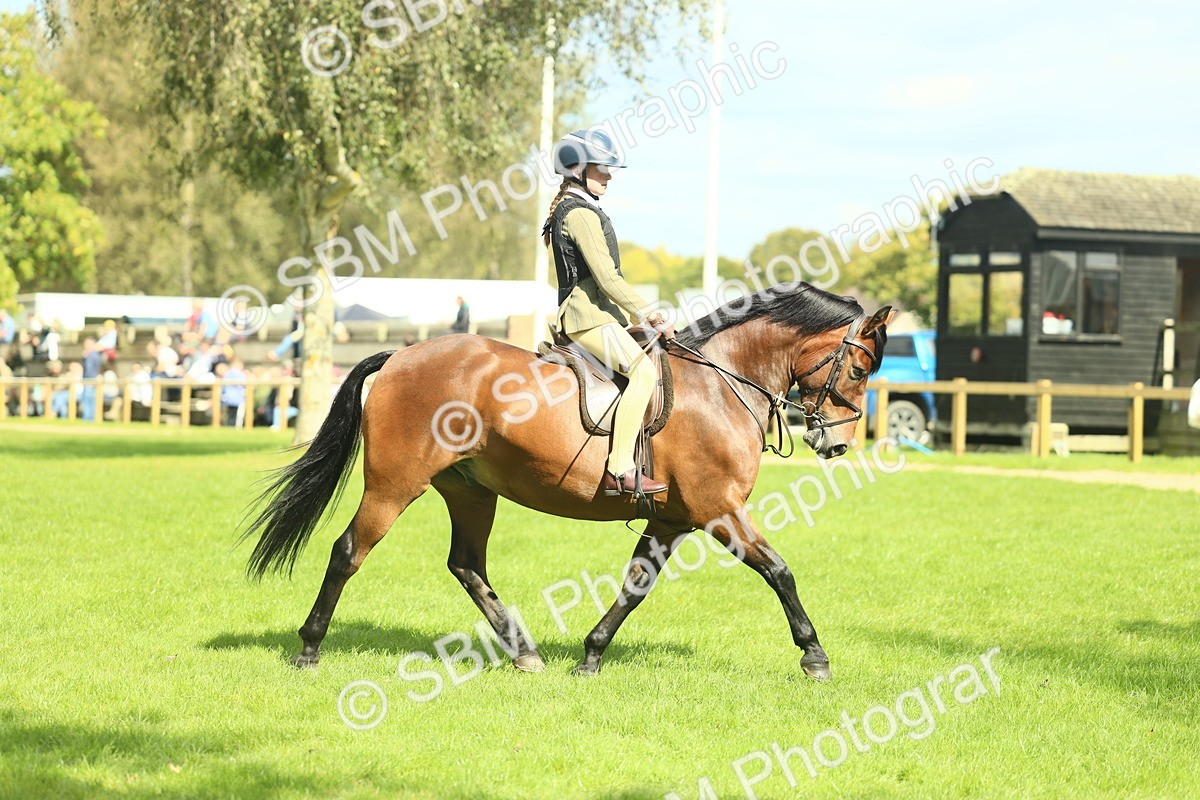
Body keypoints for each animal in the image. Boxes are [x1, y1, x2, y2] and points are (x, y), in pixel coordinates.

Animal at [242, 282, 893, 681]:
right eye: (860, 369)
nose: (837, 444)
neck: (722, 382)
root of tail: (402, 355)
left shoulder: (671, 520)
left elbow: (635, 586)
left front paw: (591, 655)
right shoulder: (719, 510)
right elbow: (779, 570)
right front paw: (814, 656)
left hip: (471, 490)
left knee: (466, 565)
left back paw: (525, 653)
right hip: (393, 485)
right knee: (348, 551)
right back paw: (309, 648)